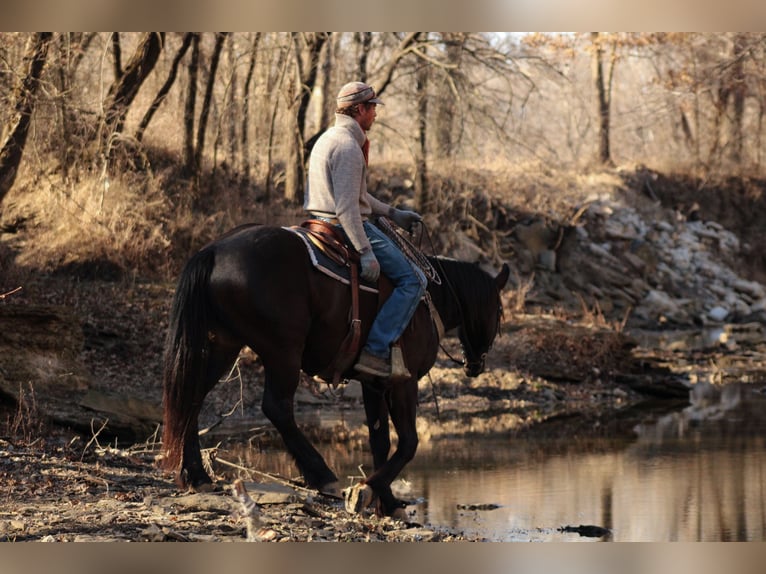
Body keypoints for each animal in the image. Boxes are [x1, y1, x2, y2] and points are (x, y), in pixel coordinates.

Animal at [161, 222, 509, 517]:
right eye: (499, 311)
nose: (475, 365)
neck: (429, 298)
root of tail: (214, 251)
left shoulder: (373, 384)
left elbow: (380, 441)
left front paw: (386, 502)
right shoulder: (404, 383)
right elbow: (409, 442)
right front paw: (367, 490)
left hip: (223, 346)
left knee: (191, 399)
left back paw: (197, 476)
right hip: (282, 351)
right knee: (277, 408)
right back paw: (323, 475)